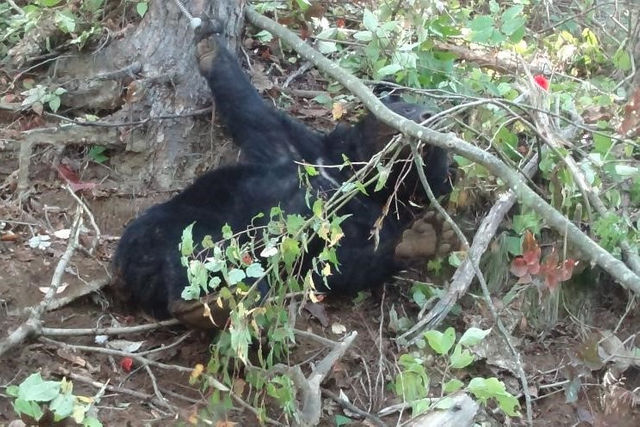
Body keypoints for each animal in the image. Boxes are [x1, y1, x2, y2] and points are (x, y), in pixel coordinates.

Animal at [111, 23, 456, 329]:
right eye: (408, 107)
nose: (430, 118)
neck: (356, 177)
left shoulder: (376, 219)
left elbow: (346, 261)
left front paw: (423, 237)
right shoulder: (299, 150)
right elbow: (255, 114)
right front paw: (211, 48)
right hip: (172, 222)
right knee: (190, 242)